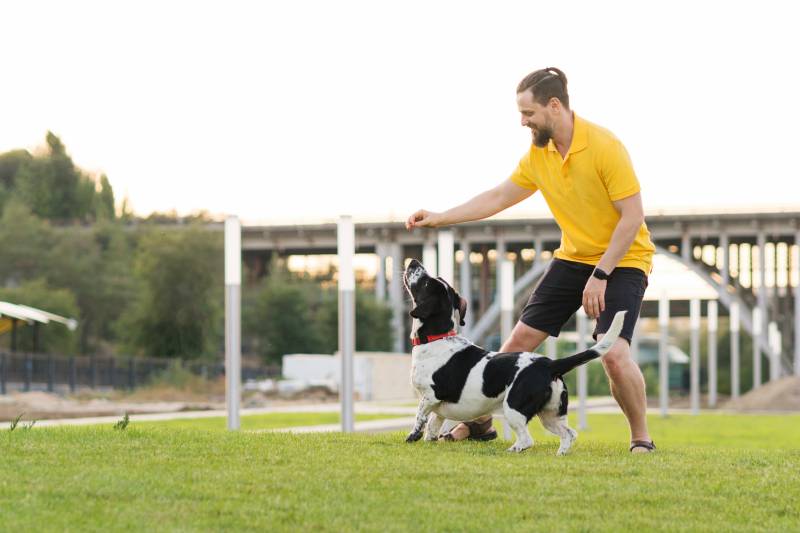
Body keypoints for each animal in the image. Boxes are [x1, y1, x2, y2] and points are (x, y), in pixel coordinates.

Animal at [406, 258, 624, 454]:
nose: (413, 262)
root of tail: (549, 364)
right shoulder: (438, 408)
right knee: (569, 434)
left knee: (527, 440)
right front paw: (430, 441)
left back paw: (514, 449)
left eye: (426, 282)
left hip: (513, 408)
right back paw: (560, 453)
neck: (437, 338)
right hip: (551, 414)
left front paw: (412, 438)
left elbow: (420, 418)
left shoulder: (430, 397)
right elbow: (433, 424)